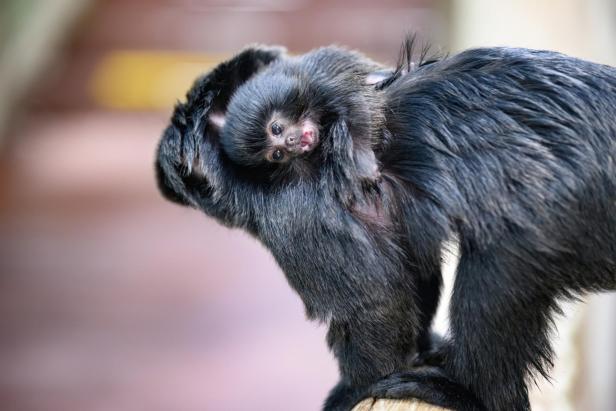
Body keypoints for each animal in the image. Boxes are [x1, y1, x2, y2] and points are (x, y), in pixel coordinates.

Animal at [155, 39, 616, 411]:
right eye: (274, 150)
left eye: (279, 129)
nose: (293, 143)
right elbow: (413, 274)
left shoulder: (298, 210)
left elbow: (377, 301)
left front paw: (354, 387)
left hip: (562, 215)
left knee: (493, 281)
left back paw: (473, 396)